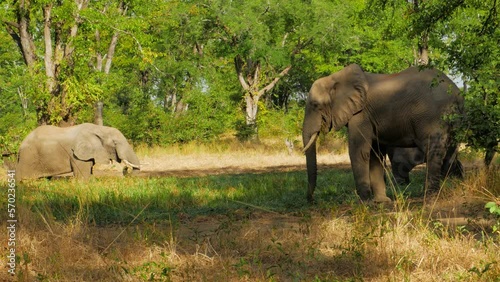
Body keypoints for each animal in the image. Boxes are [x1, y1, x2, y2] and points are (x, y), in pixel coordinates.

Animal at [302, 64, 462, 203]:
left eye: (315, 105)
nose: (311, 200)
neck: (335, 78)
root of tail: (456, 91)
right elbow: (375, 153)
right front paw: (381, 202)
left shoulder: (361, 115)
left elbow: (359, 151)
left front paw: (364, 202)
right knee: (449, 153)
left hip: (432, 117)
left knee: (433, 150)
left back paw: (429, 197)